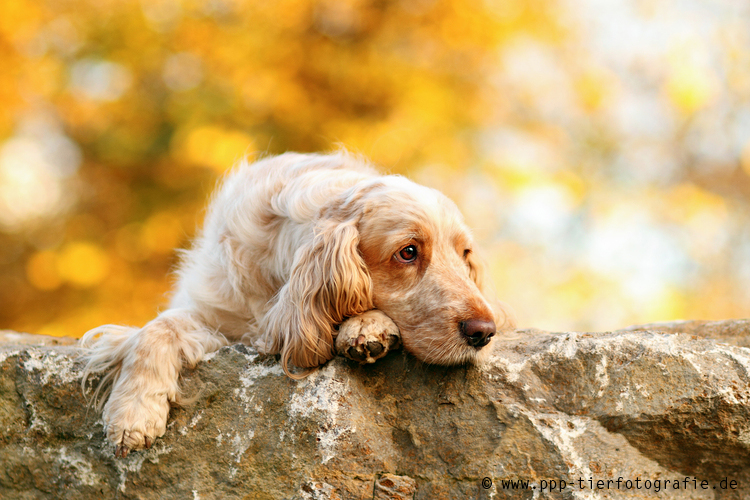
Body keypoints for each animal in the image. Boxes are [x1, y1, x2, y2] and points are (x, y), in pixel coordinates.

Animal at [82, 151, 516, 458]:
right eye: (408, 252)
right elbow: (155, 331)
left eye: (464, 254)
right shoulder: (217, 314)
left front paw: (366, 327)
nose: (484, 333)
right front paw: (132, 414)